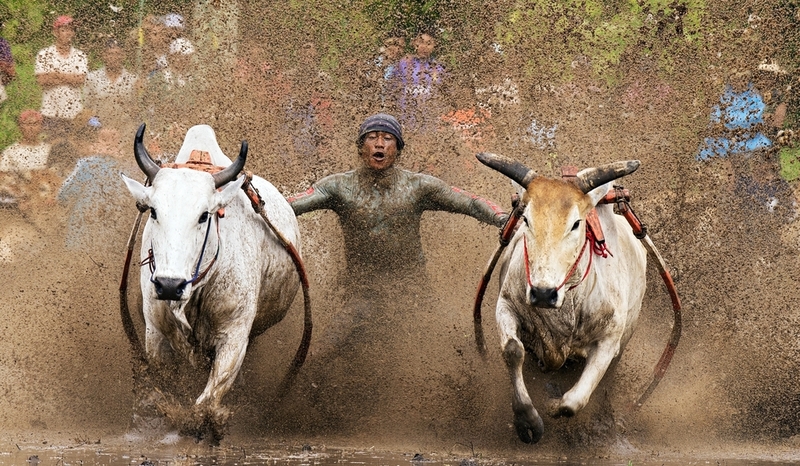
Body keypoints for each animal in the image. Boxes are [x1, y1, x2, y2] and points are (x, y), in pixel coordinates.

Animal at [122, 123, 300, 440]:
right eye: (153, 211)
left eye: (204, 215)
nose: (169, 285)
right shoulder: (156, 333)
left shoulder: (234, 338)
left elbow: (207, 402)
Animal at [478, 153, 648, 444]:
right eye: (526, 219)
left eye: (576, 223)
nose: (543, 293)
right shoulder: (506, 304)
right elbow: (512, 350)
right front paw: (527, 420)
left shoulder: (609, 341)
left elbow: (574, 403)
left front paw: (554, 406)